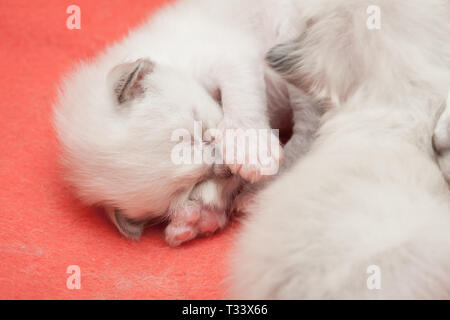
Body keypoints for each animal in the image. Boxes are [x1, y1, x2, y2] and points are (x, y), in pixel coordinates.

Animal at [56, 0, 302, 245]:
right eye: (196, 184)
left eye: (201, 131)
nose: (227, 169)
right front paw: (197, 218)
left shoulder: (229, 54)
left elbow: (242, 95)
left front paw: (251, 149)